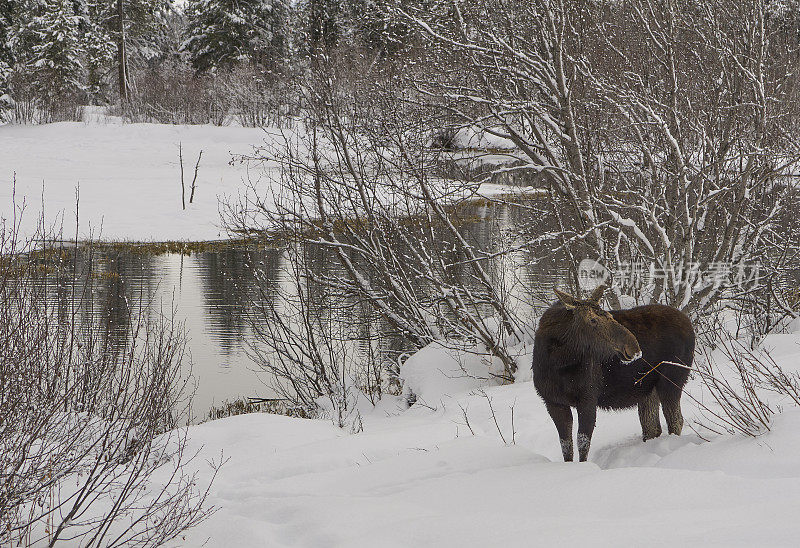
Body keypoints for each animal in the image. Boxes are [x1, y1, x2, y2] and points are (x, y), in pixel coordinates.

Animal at [536, 286, 696, 462]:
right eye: (592, 320)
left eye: (610, 315)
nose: (633, 347)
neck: (558, 362)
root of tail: (689, 323)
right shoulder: (553, 402)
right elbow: (566, 445)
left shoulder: (588, 399)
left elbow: (582, 442)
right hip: (648, 388)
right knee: (652, 426)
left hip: (672, 380)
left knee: (675, 421)